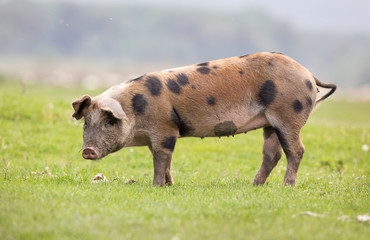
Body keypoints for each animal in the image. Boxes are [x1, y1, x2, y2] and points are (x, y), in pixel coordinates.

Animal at [71, 53, 336, 188]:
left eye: (109, 122)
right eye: (86, 123)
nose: (87, 151)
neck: (135, 109)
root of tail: (308, 74)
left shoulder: (166, 128)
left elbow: (161, 158)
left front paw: (157, 186)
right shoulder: (158, 136)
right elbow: (165, 160)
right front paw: (170, 184)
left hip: (288, 115)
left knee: (296, 150)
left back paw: (287, 186)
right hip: (270, 123)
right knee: (273, 154)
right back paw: (255, 185)